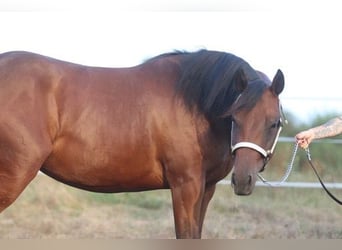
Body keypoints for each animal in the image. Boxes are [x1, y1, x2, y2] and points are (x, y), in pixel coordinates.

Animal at [0, 49, 284, 238]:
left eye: (273, 123)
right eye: (234, 117)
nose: (243, 180)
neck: (194, 104)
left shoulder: (207, 188)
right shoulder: (186, 186)